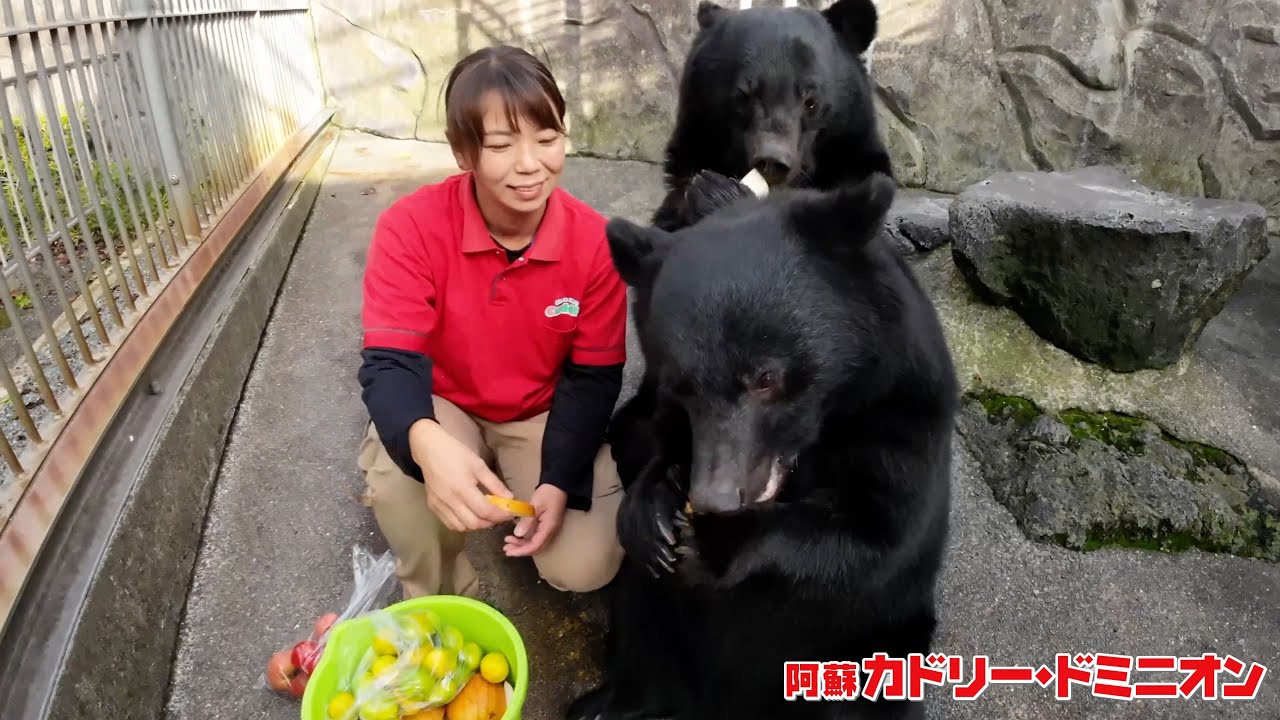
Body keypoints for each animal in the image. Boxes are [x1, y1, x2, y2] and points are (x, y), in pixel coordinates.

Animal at [566, 173, 959, 720]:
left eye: (766, 378)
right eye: (682, 385)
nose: (716, 496)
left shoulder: (900, 410)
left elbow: (877, 528)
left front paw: (713, 540)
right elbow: (635, 435)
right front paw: (653, 514)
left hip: (871, 642)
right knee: (640, 615)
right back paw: (610, 702)